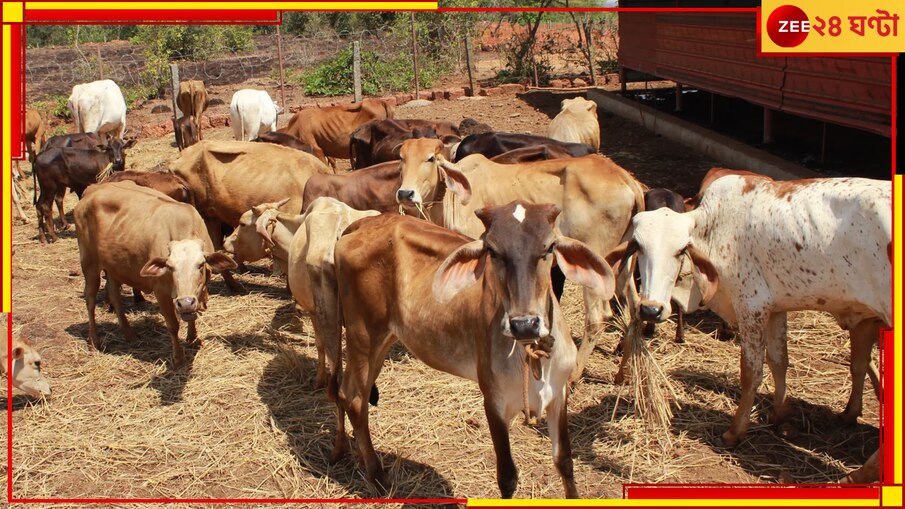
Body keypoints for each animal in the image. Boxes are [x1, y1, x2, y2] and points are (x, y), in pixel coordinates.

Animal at [74, 181, 237, 364]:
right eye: (170, 267)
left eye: (201, 265)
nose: (185, 302)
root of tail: (92, 189)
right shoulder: (161, 292)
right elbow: (173, 325)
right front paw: (178, 356)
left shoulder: (198, 292)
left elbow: (192, 317)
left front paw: (193, 338)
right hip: (89, 264)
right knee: (90, 300)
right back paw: (94, 341)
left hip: (114, 266)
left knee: (114, 295)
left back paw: (129, 334)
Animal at [223, 197, 380, 388]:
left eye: (242, 224)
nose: (225, 243)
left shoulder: (312, 310)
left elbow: (320, 344)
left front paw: (319, 379)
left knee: (333, 352)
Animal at [330, 202, 615, 498]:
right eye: (493, 251)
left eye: (548, 248)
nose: (524, 324)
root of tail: (363, 224)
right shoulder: (494, 400)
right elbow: (507, 476)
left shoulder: (558, 393)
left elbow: (565, 461)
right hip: (363, 334)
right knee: (353, 396)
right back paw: (376, 474)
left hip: (384, 338)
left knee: (351, 393)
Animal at [394, 138, 645, 380]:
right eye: (402, 159)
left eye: (430, 158)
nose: (405, 194)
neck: (451, 200)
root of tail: (625, 178)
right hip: (623, 263)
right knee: (635, 306)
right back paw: (623, 372)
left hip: (594, 263)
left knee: (597, 317)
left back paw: (574, 375)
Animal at [606, 176, 891, 450]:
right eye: (639, 246)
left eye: (681, 250)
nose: (650, 309)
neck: (716, 228)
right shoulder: (775, 309)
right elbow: (779, 361)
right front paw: (781, 417)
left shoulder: (752, 306)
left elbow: (751, 372)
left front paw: (735, 432)